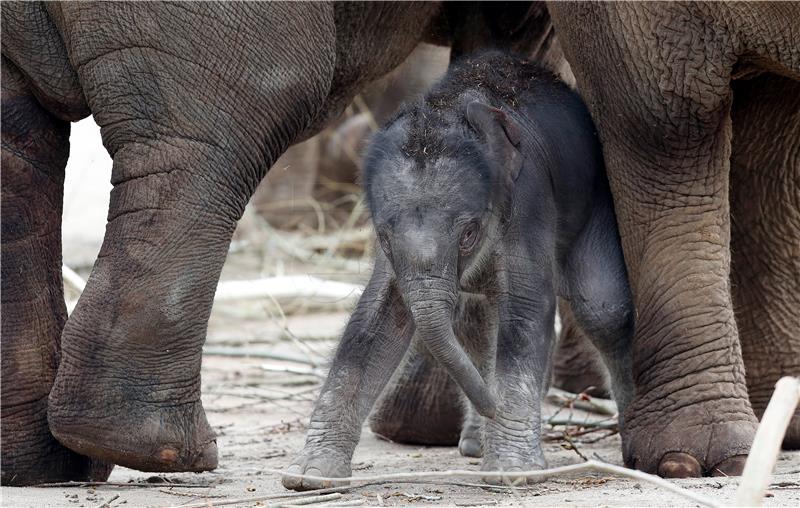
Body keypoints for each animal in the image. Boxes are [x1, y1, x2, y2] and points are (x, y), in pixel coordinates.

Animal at [284, 50, 636, 488]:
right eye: (383, 237)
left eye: (468, 233)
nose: (493, 407)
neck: (447, 107)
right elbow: (377, 318)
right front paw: (310, 477)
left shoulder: (529, 198)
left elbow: (524, 309)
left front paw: (510, 473)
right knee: (475, 326)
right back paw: (475, 444)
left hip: (595, 200)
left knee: (601, 307)